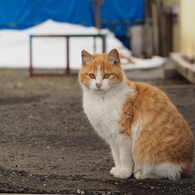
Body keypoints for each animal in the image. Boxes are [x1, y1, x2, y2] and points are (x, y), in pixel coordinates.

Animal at [78, 48, 194, 180]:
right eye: (91, 76)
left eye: (106, 75)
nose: (98, 85)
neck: (102, 100)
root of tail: (187, 166)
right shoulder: (112, 138)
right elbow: (117, 156)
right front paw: (118, 169)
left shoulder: (124, 136)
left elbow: (124, 158)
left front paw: (125, 173)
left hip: (149, 150)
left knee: (167, 172)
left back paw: (142, 174)